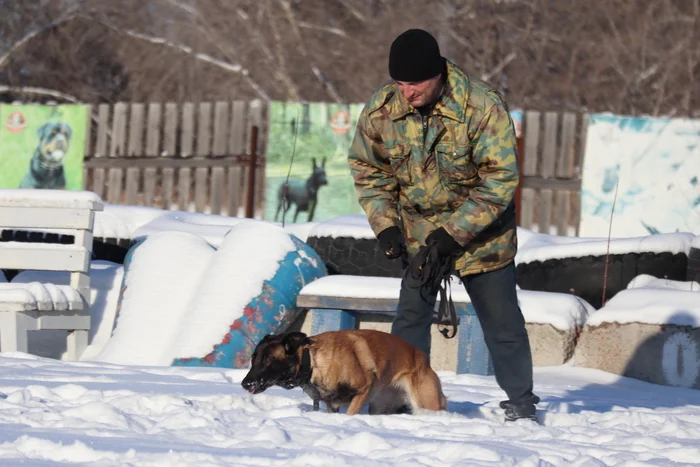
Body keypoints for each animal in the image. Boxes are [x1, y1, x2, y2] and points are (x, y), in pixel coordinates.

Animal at [241, 330, 448, 416]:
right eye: (254, 358)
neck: (313, 362)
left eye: (268, 359)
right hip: (380, 407)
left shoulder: (363, 389)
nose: (244, 384)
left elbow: (350, 413)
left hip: (426, 402)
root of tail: (424, 359)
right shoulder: (331, 404)